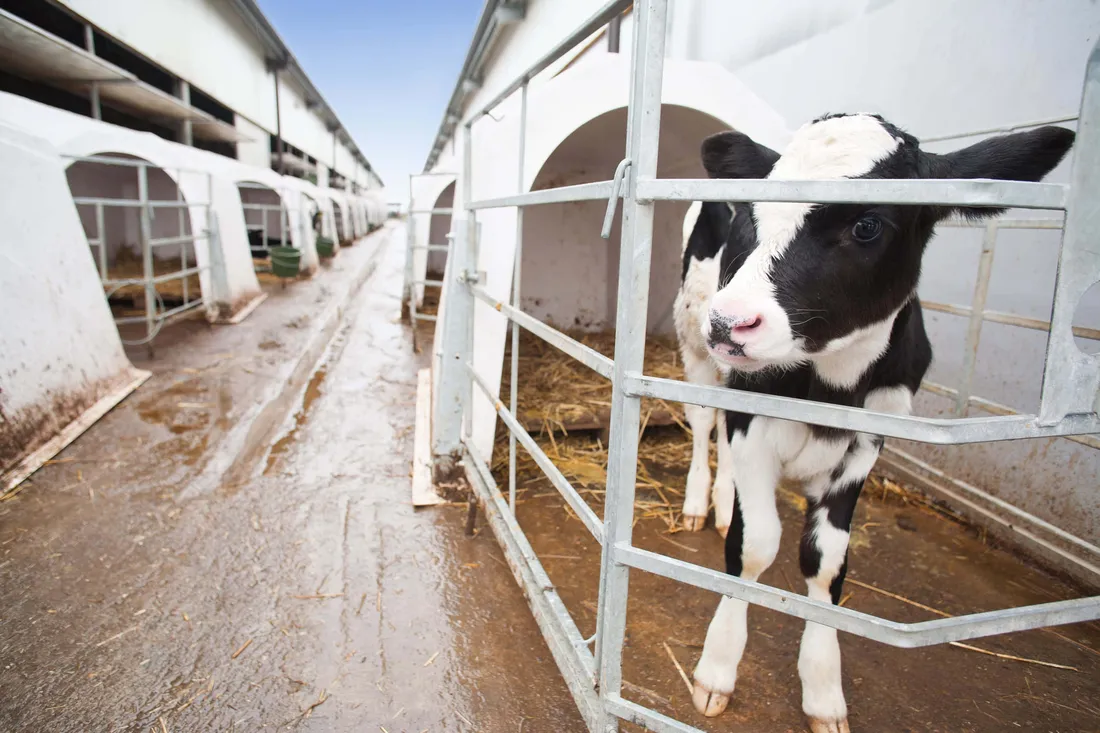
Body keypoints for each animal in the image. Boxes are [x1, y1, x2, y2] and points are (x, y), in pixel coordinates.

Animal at [672, 113, 1074, 733]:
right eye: (751, 214)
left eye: (867, 226)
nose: (730, 321)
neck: (833, 385)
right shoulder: (752, 418)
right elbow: (756, 544)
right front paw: (717, 668)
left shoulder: (869, 443)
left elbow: (825, 562)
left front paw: (823, 689)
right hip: (693, 345)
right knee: (701, 423)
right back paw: (699, 502)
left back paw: (718, 504)